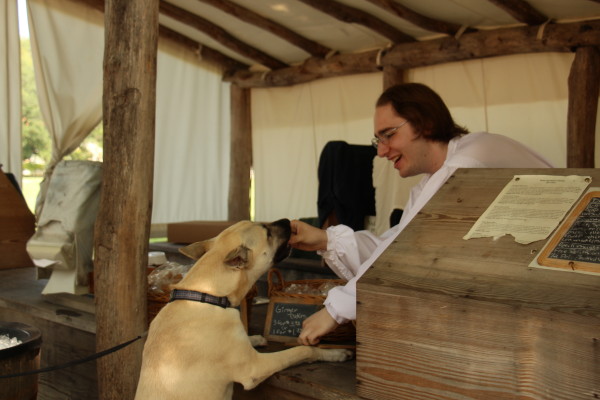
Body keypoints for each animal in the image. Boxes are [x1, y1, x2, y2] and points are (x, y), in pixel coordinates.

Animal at [135, 219, 352, 400]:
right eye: (267, 233)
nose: (288, 221)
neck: (208, 293)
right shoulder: (254, 368)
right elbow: (302, 350)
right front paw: (336, 353)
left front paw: (255, 338)